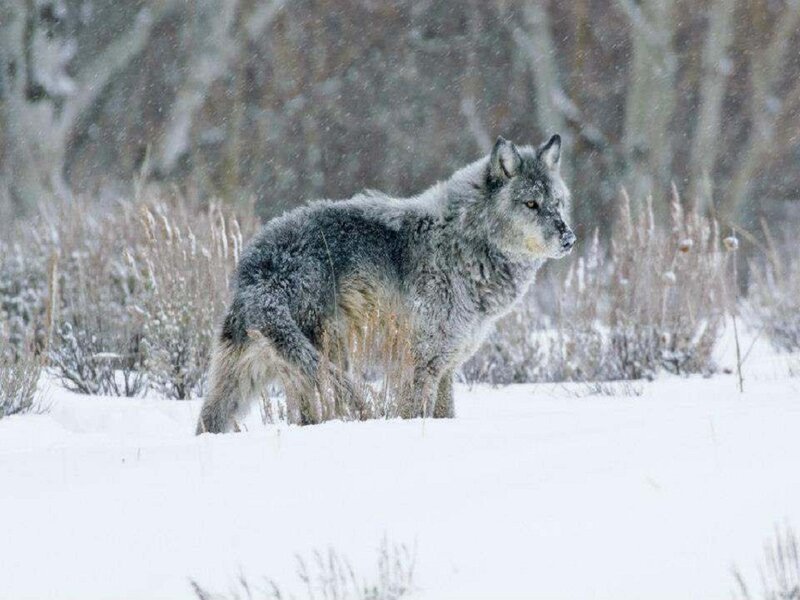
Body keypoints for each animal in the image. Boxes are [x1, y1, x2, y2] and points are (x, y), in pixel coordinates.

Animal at [196, 135, 575, 433]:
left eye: (557, 204)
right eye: (531, 204)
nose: (569, 238)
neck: (466, 242)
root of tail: (258, 269)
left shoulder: (446, 368)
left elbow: (446, 415)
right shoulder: (421, 364)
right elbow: (416, 415)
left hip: (242, 377)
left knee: (208, 421)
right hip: (328, 363)